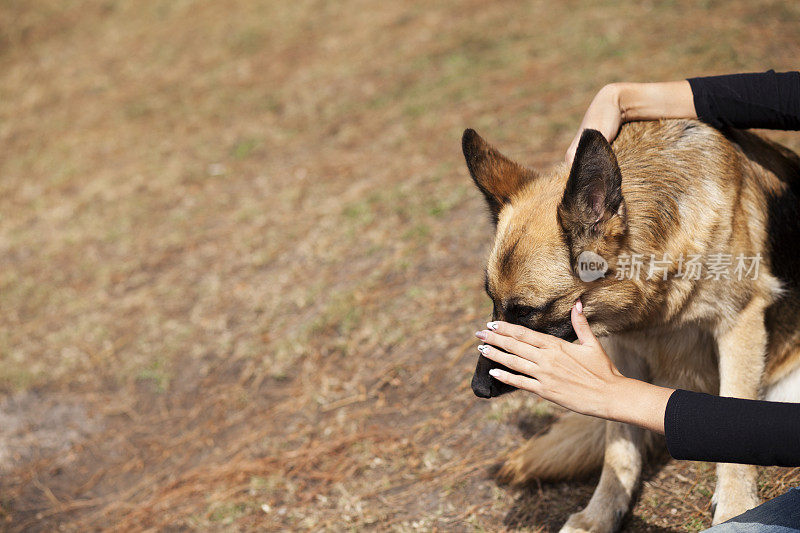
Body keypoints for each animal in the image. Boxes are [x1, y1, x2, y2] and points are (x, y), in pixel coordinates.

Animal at [466, 118, 800, 528]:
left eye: (525, 311)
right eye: (491, 301)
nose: (478, 388)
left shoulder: (740, 322)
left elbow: (735, 412)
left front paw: (737, 507)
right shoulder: (620, 352)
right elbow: (618, 446)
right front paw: (600, 515)